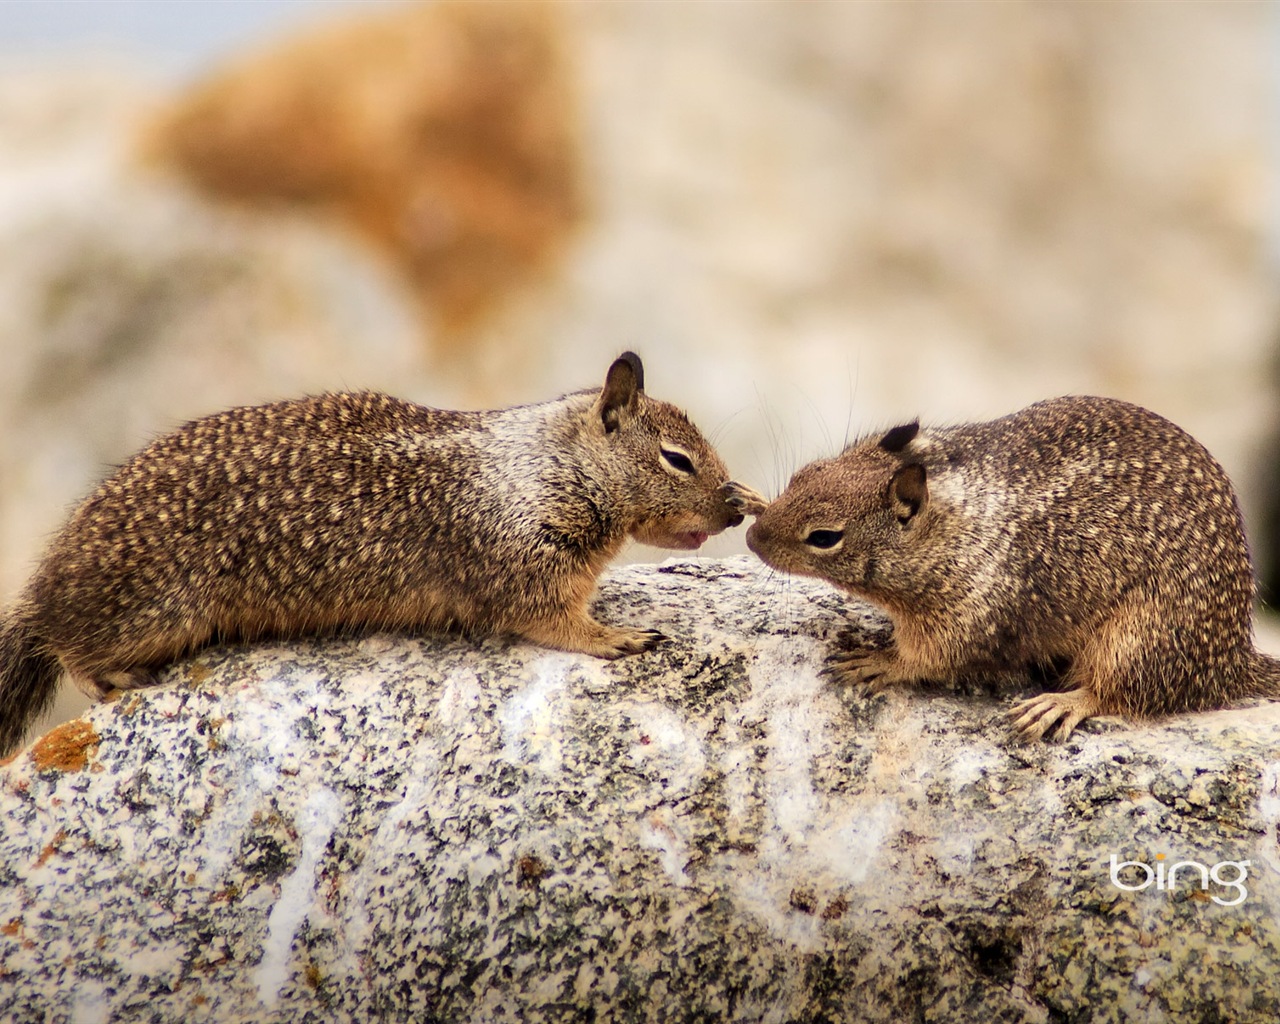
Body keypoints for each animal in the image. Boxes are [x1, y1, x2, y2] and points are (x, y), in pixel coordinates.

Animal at [2, 355, 747, 757]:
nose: (735, 509)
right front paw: (619, 636)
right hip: (151, 613)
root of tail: (43, 585)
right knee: (70, 646)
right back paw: (112, 679)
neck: (546, 465)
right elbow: (558, 624)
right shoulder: (522, 564)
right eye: (677, 459)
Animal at [742, 396, 1280, 742]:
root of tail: (1233, 663)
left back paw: (1059, 704)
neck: (955, 525)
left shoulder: (966, 617)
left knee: (1122, 693)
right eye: (803, 474)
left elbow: (926, 660)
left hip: (1140, 640)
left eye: (824, 537)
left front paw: (878, 660)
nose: (751, 539)